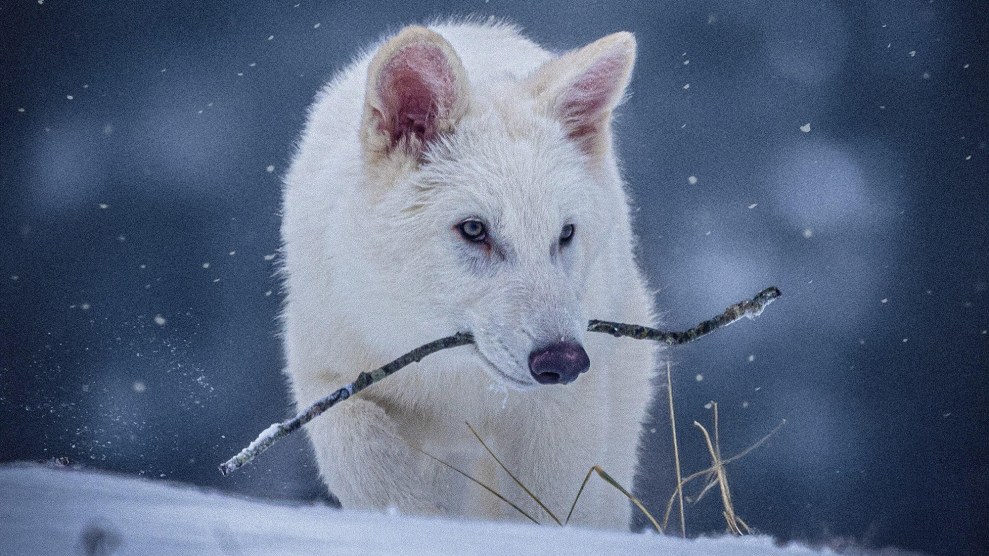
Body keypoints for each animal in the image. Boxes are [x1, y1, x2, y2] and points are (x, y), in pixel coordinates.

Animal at [281, 20, 660, 530]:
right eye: (474, 229)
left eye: (564, 234)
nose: (563, 361)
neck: (453, 378)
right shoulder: (328, 378)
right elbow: (369, 463)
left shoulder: (559, 415)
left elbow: (547, 510)